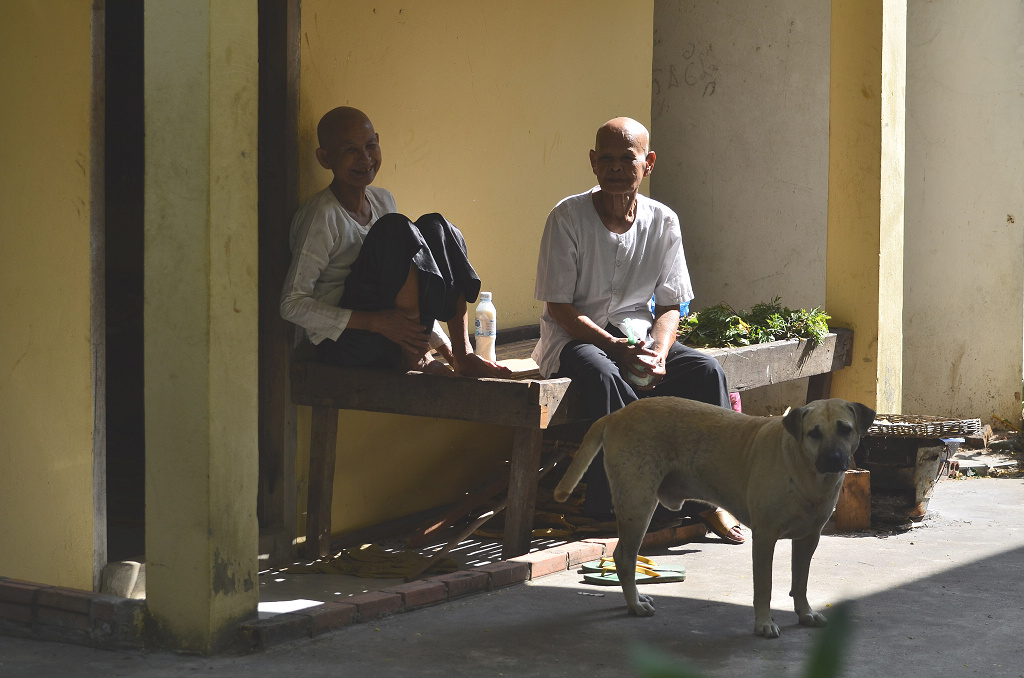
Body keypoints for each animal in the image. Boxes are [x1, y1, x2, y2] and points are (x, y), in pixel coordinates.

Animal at [557, 395, 876, 639]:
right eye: (814, 433)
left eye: (845, 429)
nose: (834, 459)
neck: (804, 470)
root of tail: (617, 415)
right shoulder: (765, 538)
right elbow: (764, 587)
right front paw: (764, 623)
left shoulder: (808, 539)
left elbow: (801, 581)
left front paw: (805, 613)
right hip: (637, 505)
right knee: (624, 557)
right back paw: (635, 605)